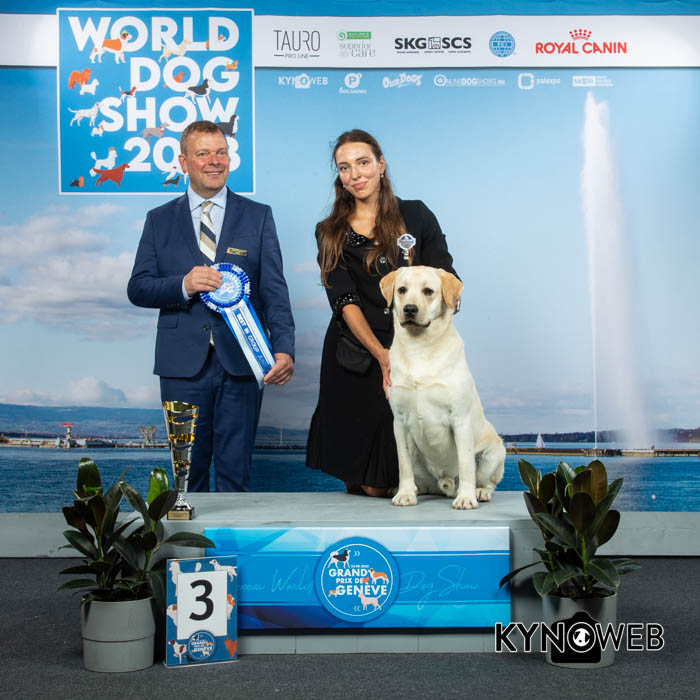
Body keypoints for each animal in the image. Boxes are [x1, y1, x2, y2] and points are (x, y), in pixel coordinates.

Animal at [380, 266, 505, 510]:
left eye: (428, 291)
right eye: (402, 290)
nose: (410, 309)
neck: (419, 347)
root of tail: (444, 484)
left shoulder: (460, 419)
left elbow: (466, 465)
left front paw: (466, 498)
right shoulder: (399, 422)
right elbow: (403, 465)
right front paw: (405, 493)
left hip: (494, 452)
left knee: (487, 481)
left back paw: (479, 492)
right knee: (421, 479)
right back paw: (410, 489)